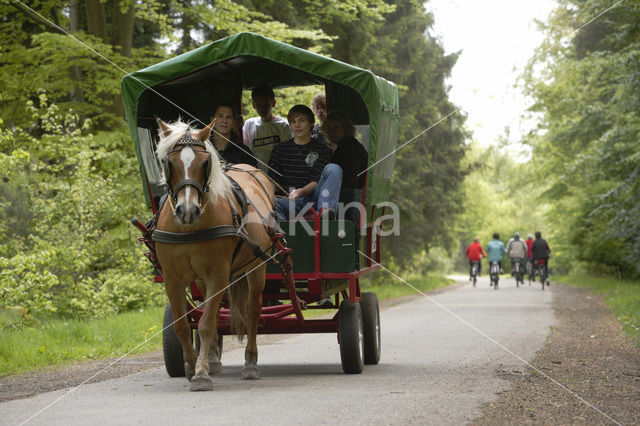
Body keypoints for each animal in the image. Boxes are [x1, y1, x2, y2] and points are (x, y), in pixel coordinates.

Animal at [156, 118, 278, 392]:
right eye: (169, 162)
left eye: (204, 163)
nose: (187, 210)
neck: (189, 228)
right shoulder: (172, 279)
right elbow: (182, 325)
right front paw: (193, 366)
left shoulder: (218, 276)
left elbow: (206, 324)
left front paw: (201, 374)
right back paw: (212, 358)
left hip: (257, 267)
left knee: (252, 311)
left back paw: (250, 363)